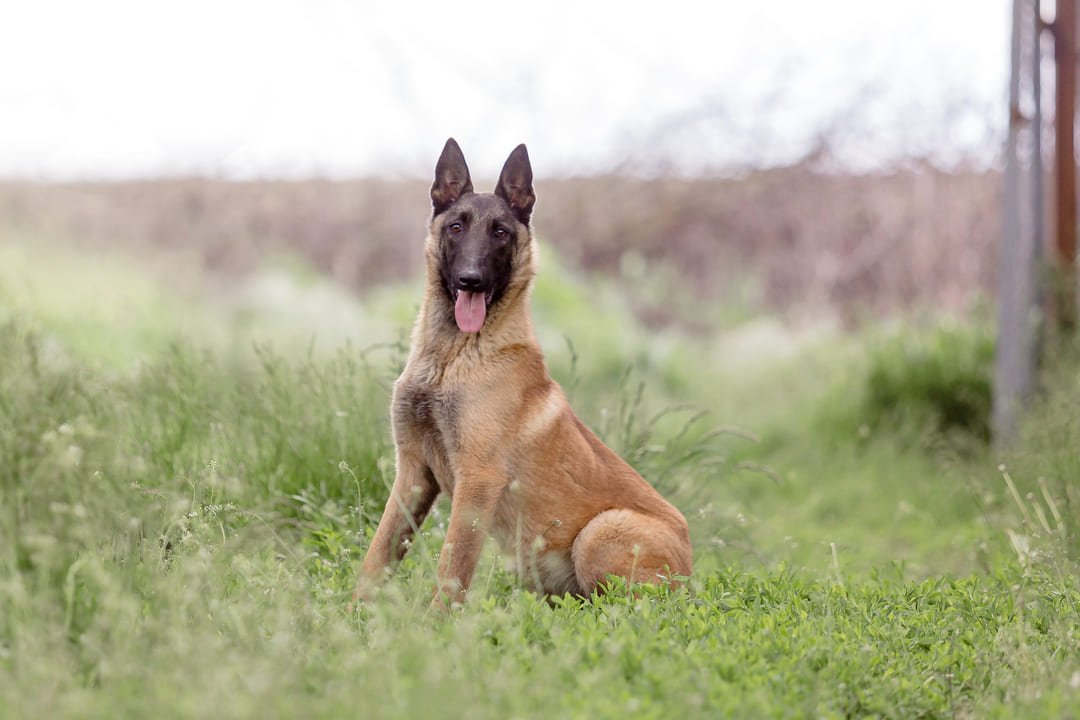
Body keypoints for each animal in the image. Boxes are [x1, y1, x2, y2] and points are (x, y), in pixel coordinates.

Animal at [354, 136, 691, 608]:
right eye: (456, 227)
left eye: (500, 232)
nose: (471, 280)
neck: (450, 358)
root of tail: (693, 573)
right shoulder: (414, 475)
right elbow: (378, 555)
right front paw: (352, 614)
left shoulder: (477, 482)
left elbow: (451, 567)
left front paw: (431, 623)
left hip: (600, 531)